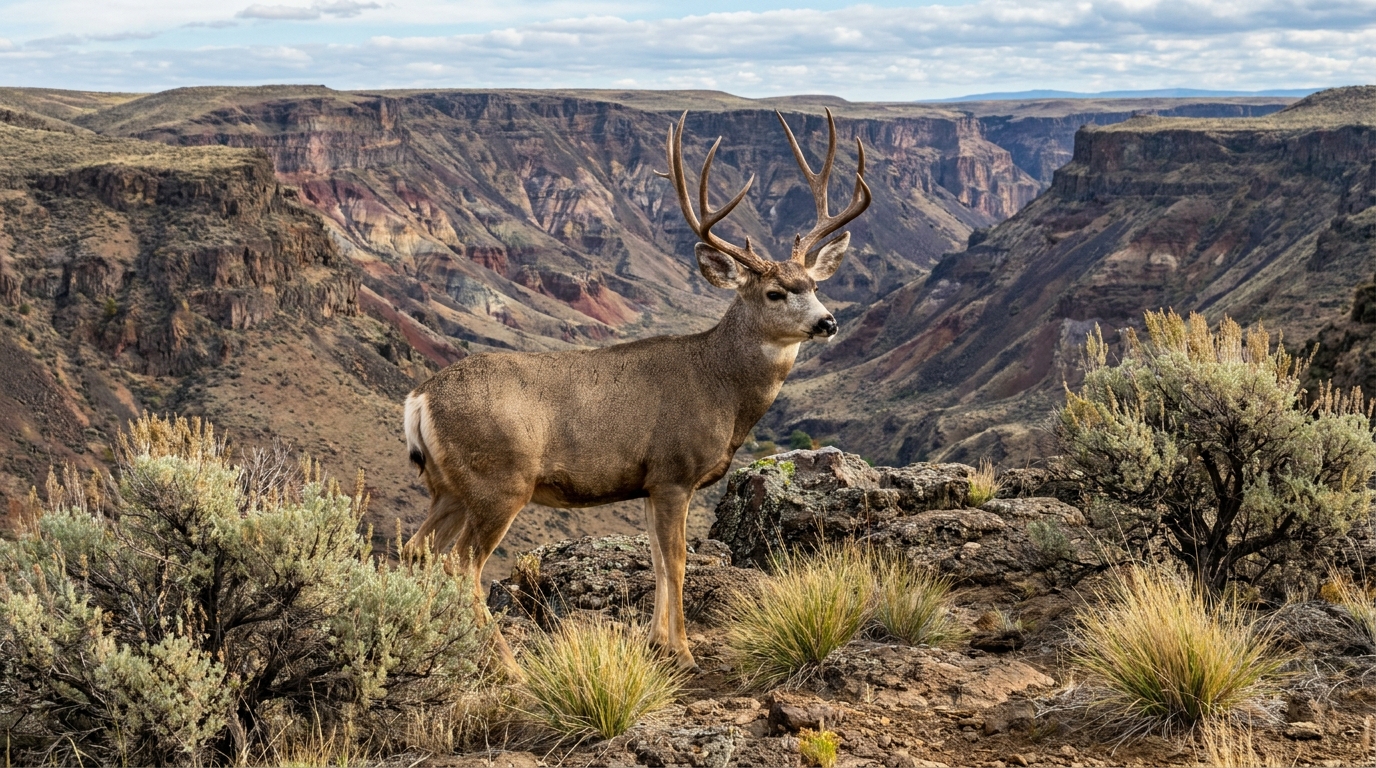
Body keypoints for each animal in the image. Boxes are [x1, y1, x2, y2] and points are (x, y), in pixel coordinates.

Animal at [402, 108, 871, 670]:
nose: (828, 322)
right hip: (500, 480)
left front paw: (657, 642)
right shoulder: (674, 470)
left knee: (416, 551)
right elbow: (677, 561)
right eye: (776, 292)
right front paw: (684, 653)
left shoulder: (648, 482)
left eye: (815, 285)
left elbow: (655, 559)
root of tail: (419, 398)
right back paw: (509, 667)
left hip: (448, 486)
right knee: (461, 564)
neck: (720, 386)